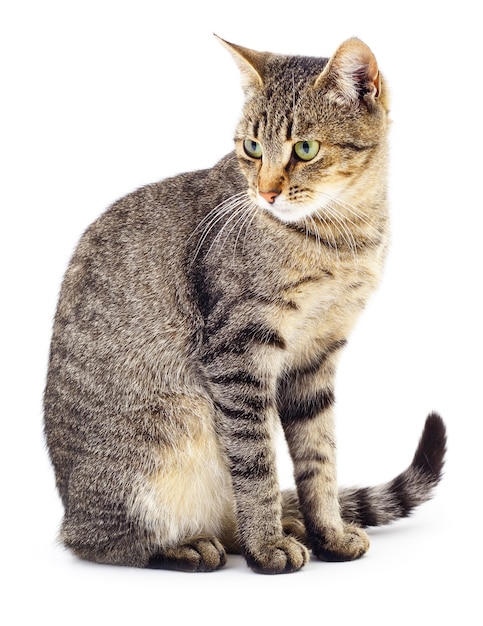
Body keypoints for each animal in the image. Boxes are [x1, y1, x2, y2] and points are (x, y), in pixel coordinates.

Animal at [43, 33, 448, 572]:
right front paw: (267, 544)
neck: (342, 237)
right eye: (252, 148)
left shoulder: (317, 355)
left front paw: (329, 531)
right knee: (103, 543)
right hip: (153, 448)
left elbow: (319, 459)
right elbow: (255, 464)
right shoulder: (237, 351)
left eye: (305, 148)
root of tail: (69, 508)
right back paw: (190, 544)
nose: (266, 191)